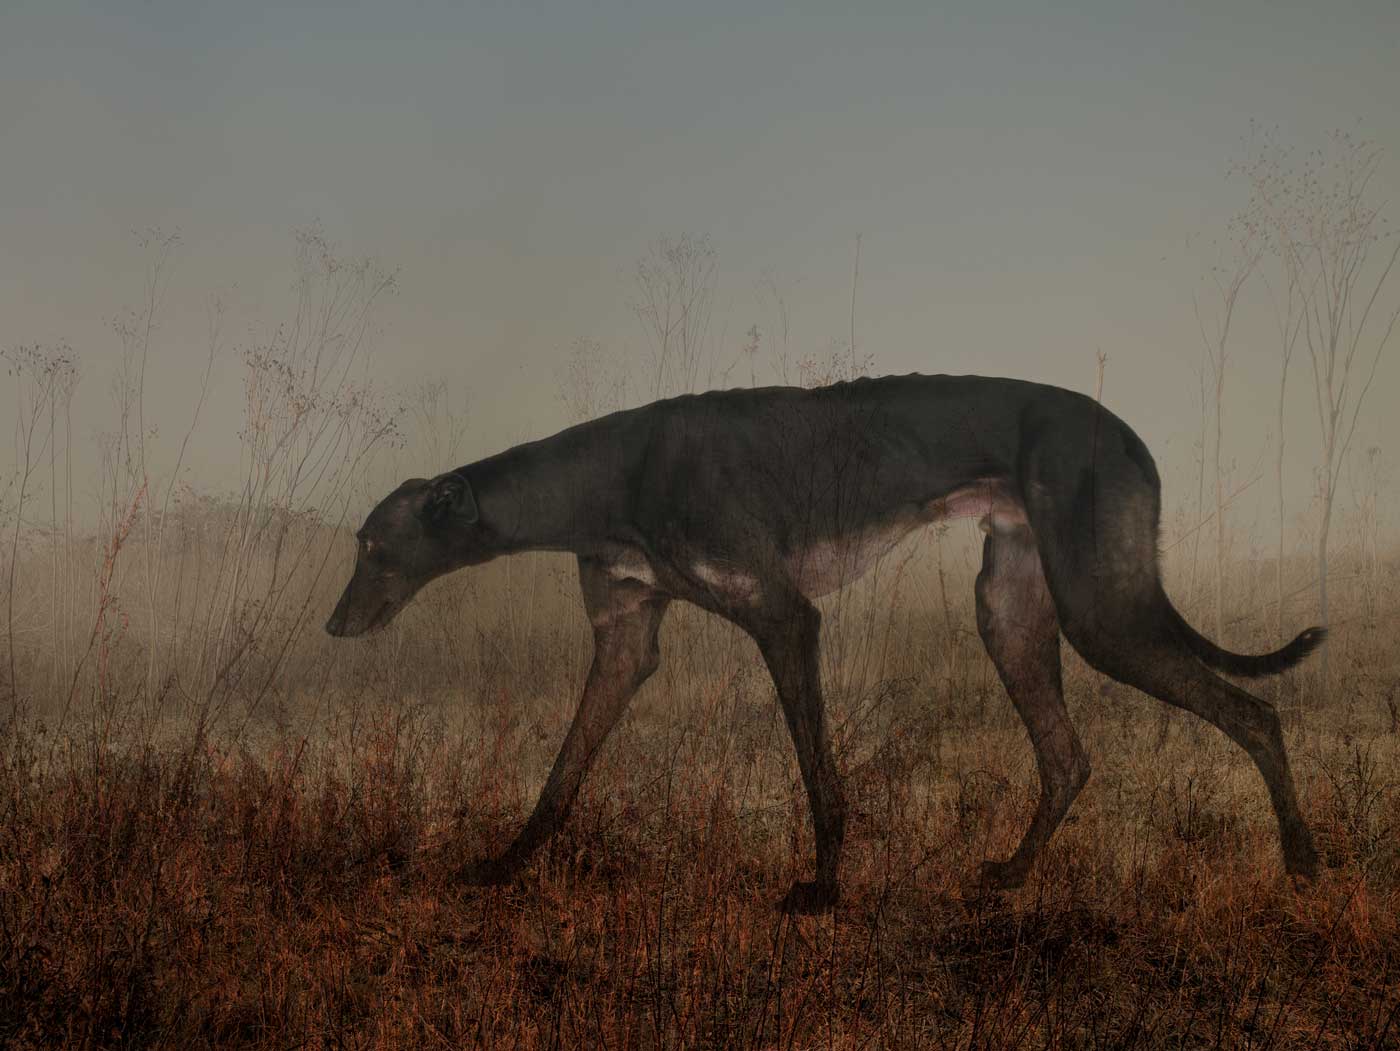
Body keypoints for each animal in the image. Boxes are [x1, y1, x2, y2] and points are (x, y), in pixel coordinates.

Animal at [327, 375, 1321, 912]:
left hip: (1102, 612)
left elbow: (818, 774)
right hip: (1012, 612)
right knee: (1069, 756)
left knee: (1255, 711)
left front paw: (824, 889)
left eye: (372, 545)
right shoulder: (624, 640)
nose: (334, 625)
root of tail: (1127, 433)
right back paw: (1009, 875)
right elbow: (562, 774)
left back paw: (1305, 863)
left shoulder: (784, 617)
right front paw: (503, 865)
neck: (611, 474)